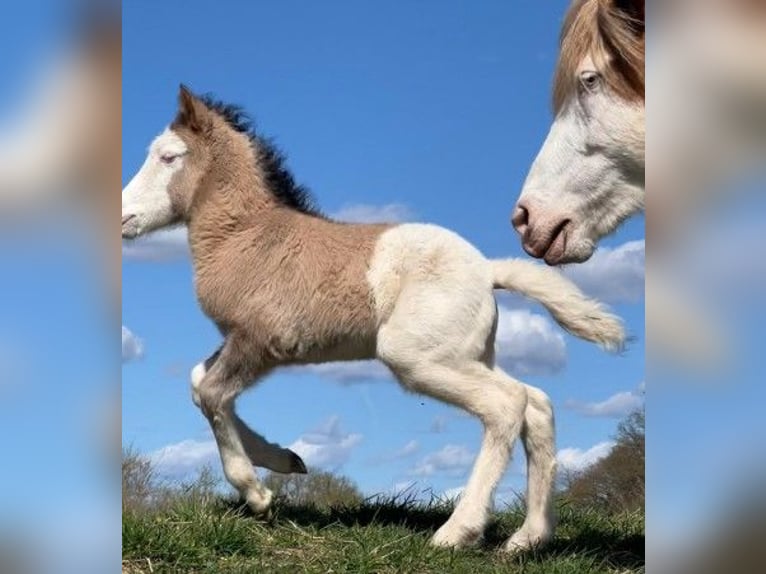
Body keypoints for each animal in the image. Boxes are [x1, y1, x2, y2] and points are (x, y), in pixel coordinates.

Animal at [121, 85, 624, 552]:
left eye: (168, 156)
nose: (124, 217)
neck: (248, 237)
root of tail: (487, 270)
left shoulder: (260, 341)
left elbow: (211, 393)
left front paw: (258, 496)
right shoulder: (243, 343)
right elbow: (199, 384)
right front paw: (286, 459)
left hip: (418, 356)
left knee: (507, 405)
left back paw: (456, 533)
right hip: (467, 354)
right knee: (536, 404)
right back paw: (529, 538)